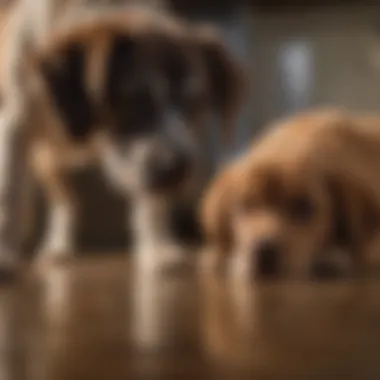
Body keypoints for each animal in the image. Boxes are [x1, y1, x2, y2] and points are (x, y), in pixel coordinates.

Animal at [0, 0, 246, 274]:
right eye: (133, 98)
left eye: (197, 103)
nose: (176, 172)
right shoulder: (15, 127)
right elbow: (9, 193)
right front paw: (4, 254)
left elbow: (151, 204)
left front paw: (158, 248)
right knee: (60, 200)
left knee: (66, 201)